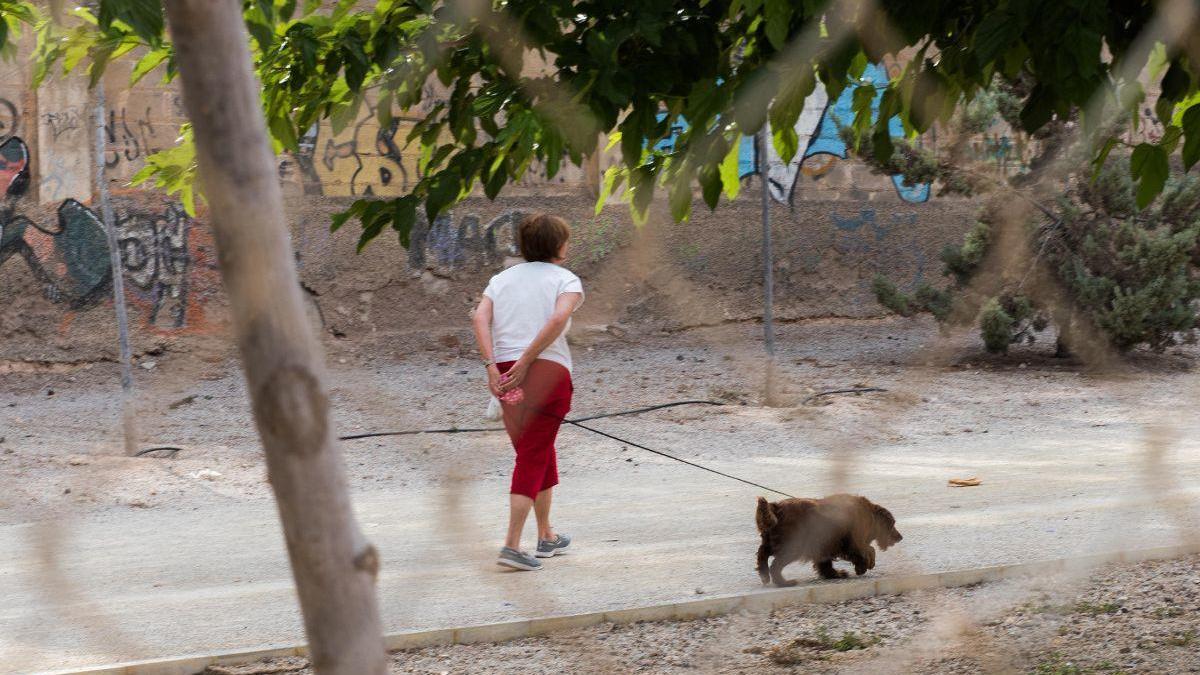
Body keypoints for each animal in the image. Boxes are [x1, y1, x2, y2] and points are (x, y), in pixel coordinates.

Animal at [758, 492, 902, 586]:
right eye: (892, 524)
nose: (900, 537)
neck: (870, 514)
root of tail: (776, 507)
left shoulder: (824, 546)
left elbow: (825, 564)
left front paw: (837, 574)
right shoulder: (855, 541)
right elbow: (870, 550)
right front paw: (866, 566)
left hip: (774, 541)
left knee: (762, 552)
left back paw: (764, 575)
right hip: (793, 545)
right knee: (775, 565)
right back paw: (784, 582)